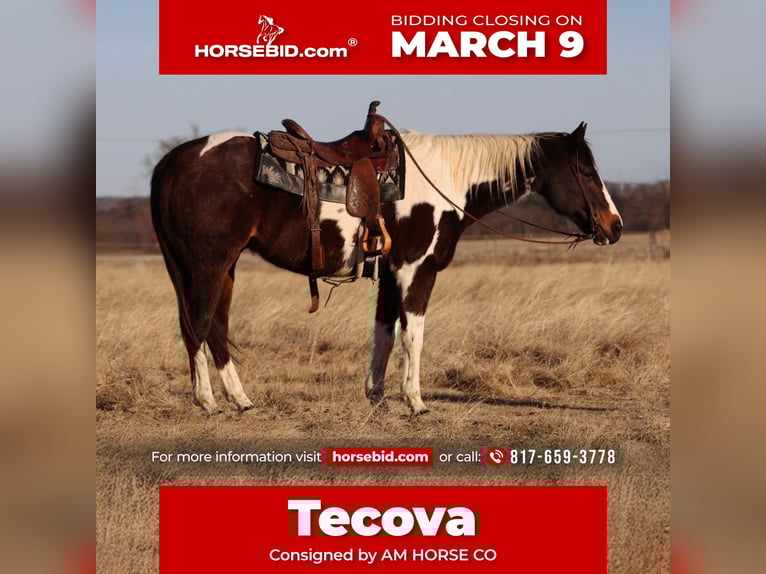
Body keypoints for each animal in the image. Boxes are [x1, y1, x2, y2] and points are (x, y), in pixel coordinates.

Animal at [150, 120, 623, 415]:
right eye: (585, 170)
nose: (614, 227)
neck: (444, 181)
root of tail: (174, 161)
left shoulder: (391, 275)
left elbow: (384, 334)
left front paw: (376, 397)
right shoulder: (417, 270)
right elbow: (413, 336)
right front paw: (415, 402)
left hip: (222, 267)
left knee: (216, 328)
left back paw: (241, 399)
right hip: (208, 264)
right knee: (198, 325)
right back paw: (208, 401)